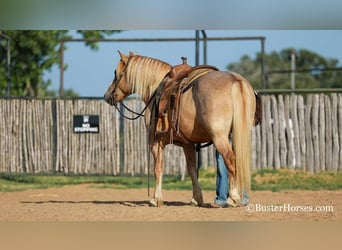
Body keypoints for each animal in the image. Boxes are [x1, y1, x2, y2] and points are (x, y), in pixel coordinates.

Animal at [104, 50, 256, 207]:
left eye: (116, 73)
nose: (107, 96)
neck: (156, 89)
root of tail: (236, 81)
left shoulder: (155, 142)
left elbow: (158, 168)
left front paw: (156, 199)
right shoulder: (187, 144)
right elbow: (192, 170)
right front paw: (196, 198)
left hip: (219, 137)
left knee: (230, 159)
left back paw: (233, 198)